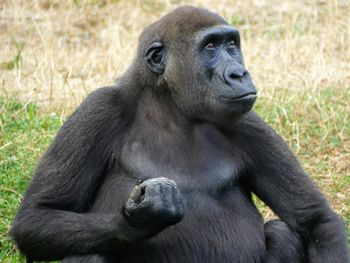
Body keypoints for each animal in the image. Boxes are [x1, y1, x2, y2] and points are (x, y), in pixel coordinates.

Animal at [11, 5, 350, 263]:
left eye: (232, 44)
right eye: (210, 47)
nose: (239, 73)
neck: (172, 109)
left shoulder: (248, 124)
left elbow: (317, 221)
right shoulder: (98, 109)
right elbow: (36, 217)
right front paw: (138, 220)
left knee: (283, 232)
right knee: (90, 249)